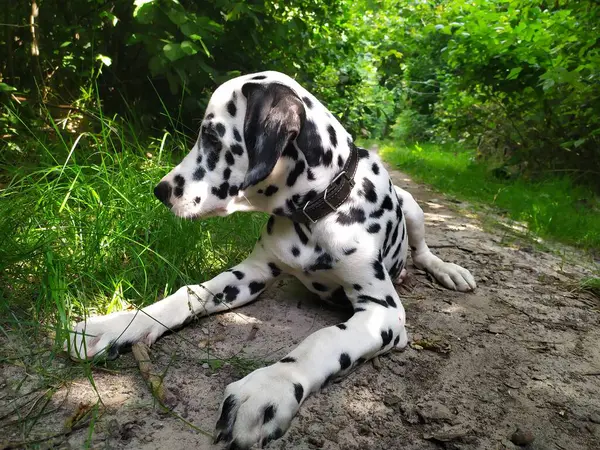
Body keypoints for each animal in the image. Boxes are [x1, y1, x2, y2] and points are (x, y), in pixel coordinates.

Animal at [69, 71, 474, 450]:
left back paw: (449, 271)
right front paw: (119, 324)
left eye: (212, 137)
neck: (315, 213)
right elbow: (189, 293)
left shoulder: (383, 311)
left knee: (422, 251)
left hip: (413, 209)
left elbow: (324, 339)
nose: (161, 190)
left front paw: (268, 386)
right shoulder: (250, 273)